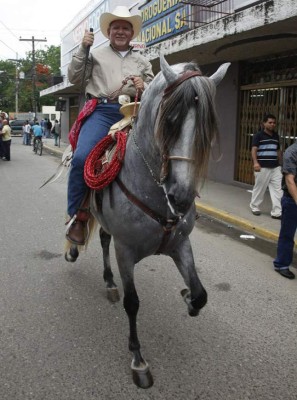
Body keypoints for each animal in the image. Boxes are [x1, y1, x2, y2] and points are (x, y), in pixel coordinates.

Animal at [65, 54, 229, 390]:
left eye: (207, 126)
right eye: (170, 120)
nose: (181, 197)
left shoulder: (181, 244)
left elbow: (201, 293)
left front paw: (188, 297)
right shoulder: (126, 252)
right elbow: (133, 303)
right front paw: (138, 360)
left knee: (103, 239)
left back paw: (109, 281)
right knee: (76, 216)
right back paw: (73, 245)